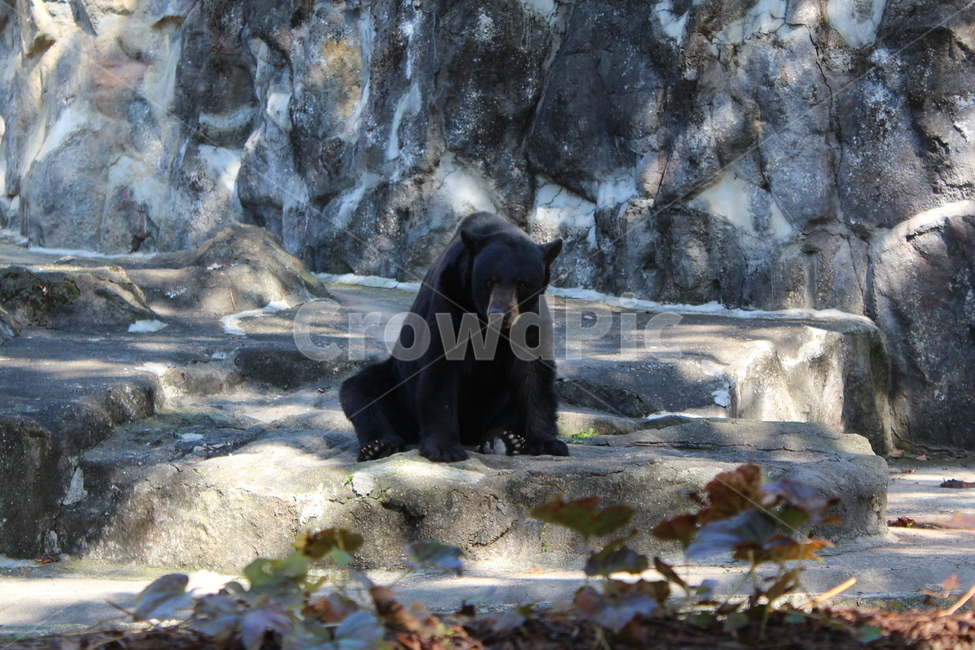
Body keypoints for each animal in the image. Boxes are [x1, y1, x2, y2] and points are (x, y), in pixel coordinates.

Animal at [339, 211, 570, 463]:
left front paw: (549, 442)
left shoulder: (530, 315)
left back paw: (504, 439)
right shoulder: (450, 295)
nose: (500, 314)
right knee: (361, 392)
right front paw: (444, 448)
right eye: (489, 280)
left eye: (522, 282)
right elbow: (441, 367)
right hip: (399, 388)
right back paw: (379, 445)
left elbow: (533, 371)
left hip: (499, 402)